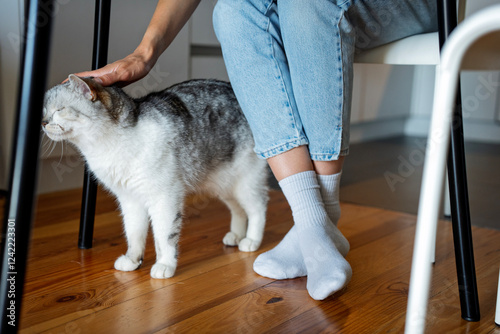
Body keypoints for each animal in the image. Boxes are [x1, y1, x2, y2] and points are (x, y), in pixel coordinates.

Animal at [43, 75, 270, 280]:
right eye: (44, 111)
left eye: (59, 110)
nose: (43, 122)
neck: (107, 147)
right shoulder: (130, 200)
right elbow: (134, 233)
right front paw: (133, 260)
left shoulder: (164, 199)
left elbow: (164, 237)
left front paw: (165, 265)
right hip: (224, 185)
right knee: (238, 210)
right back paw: (237, 235)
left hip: (245, 182)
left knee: (258, 209)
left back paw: (251, 240)